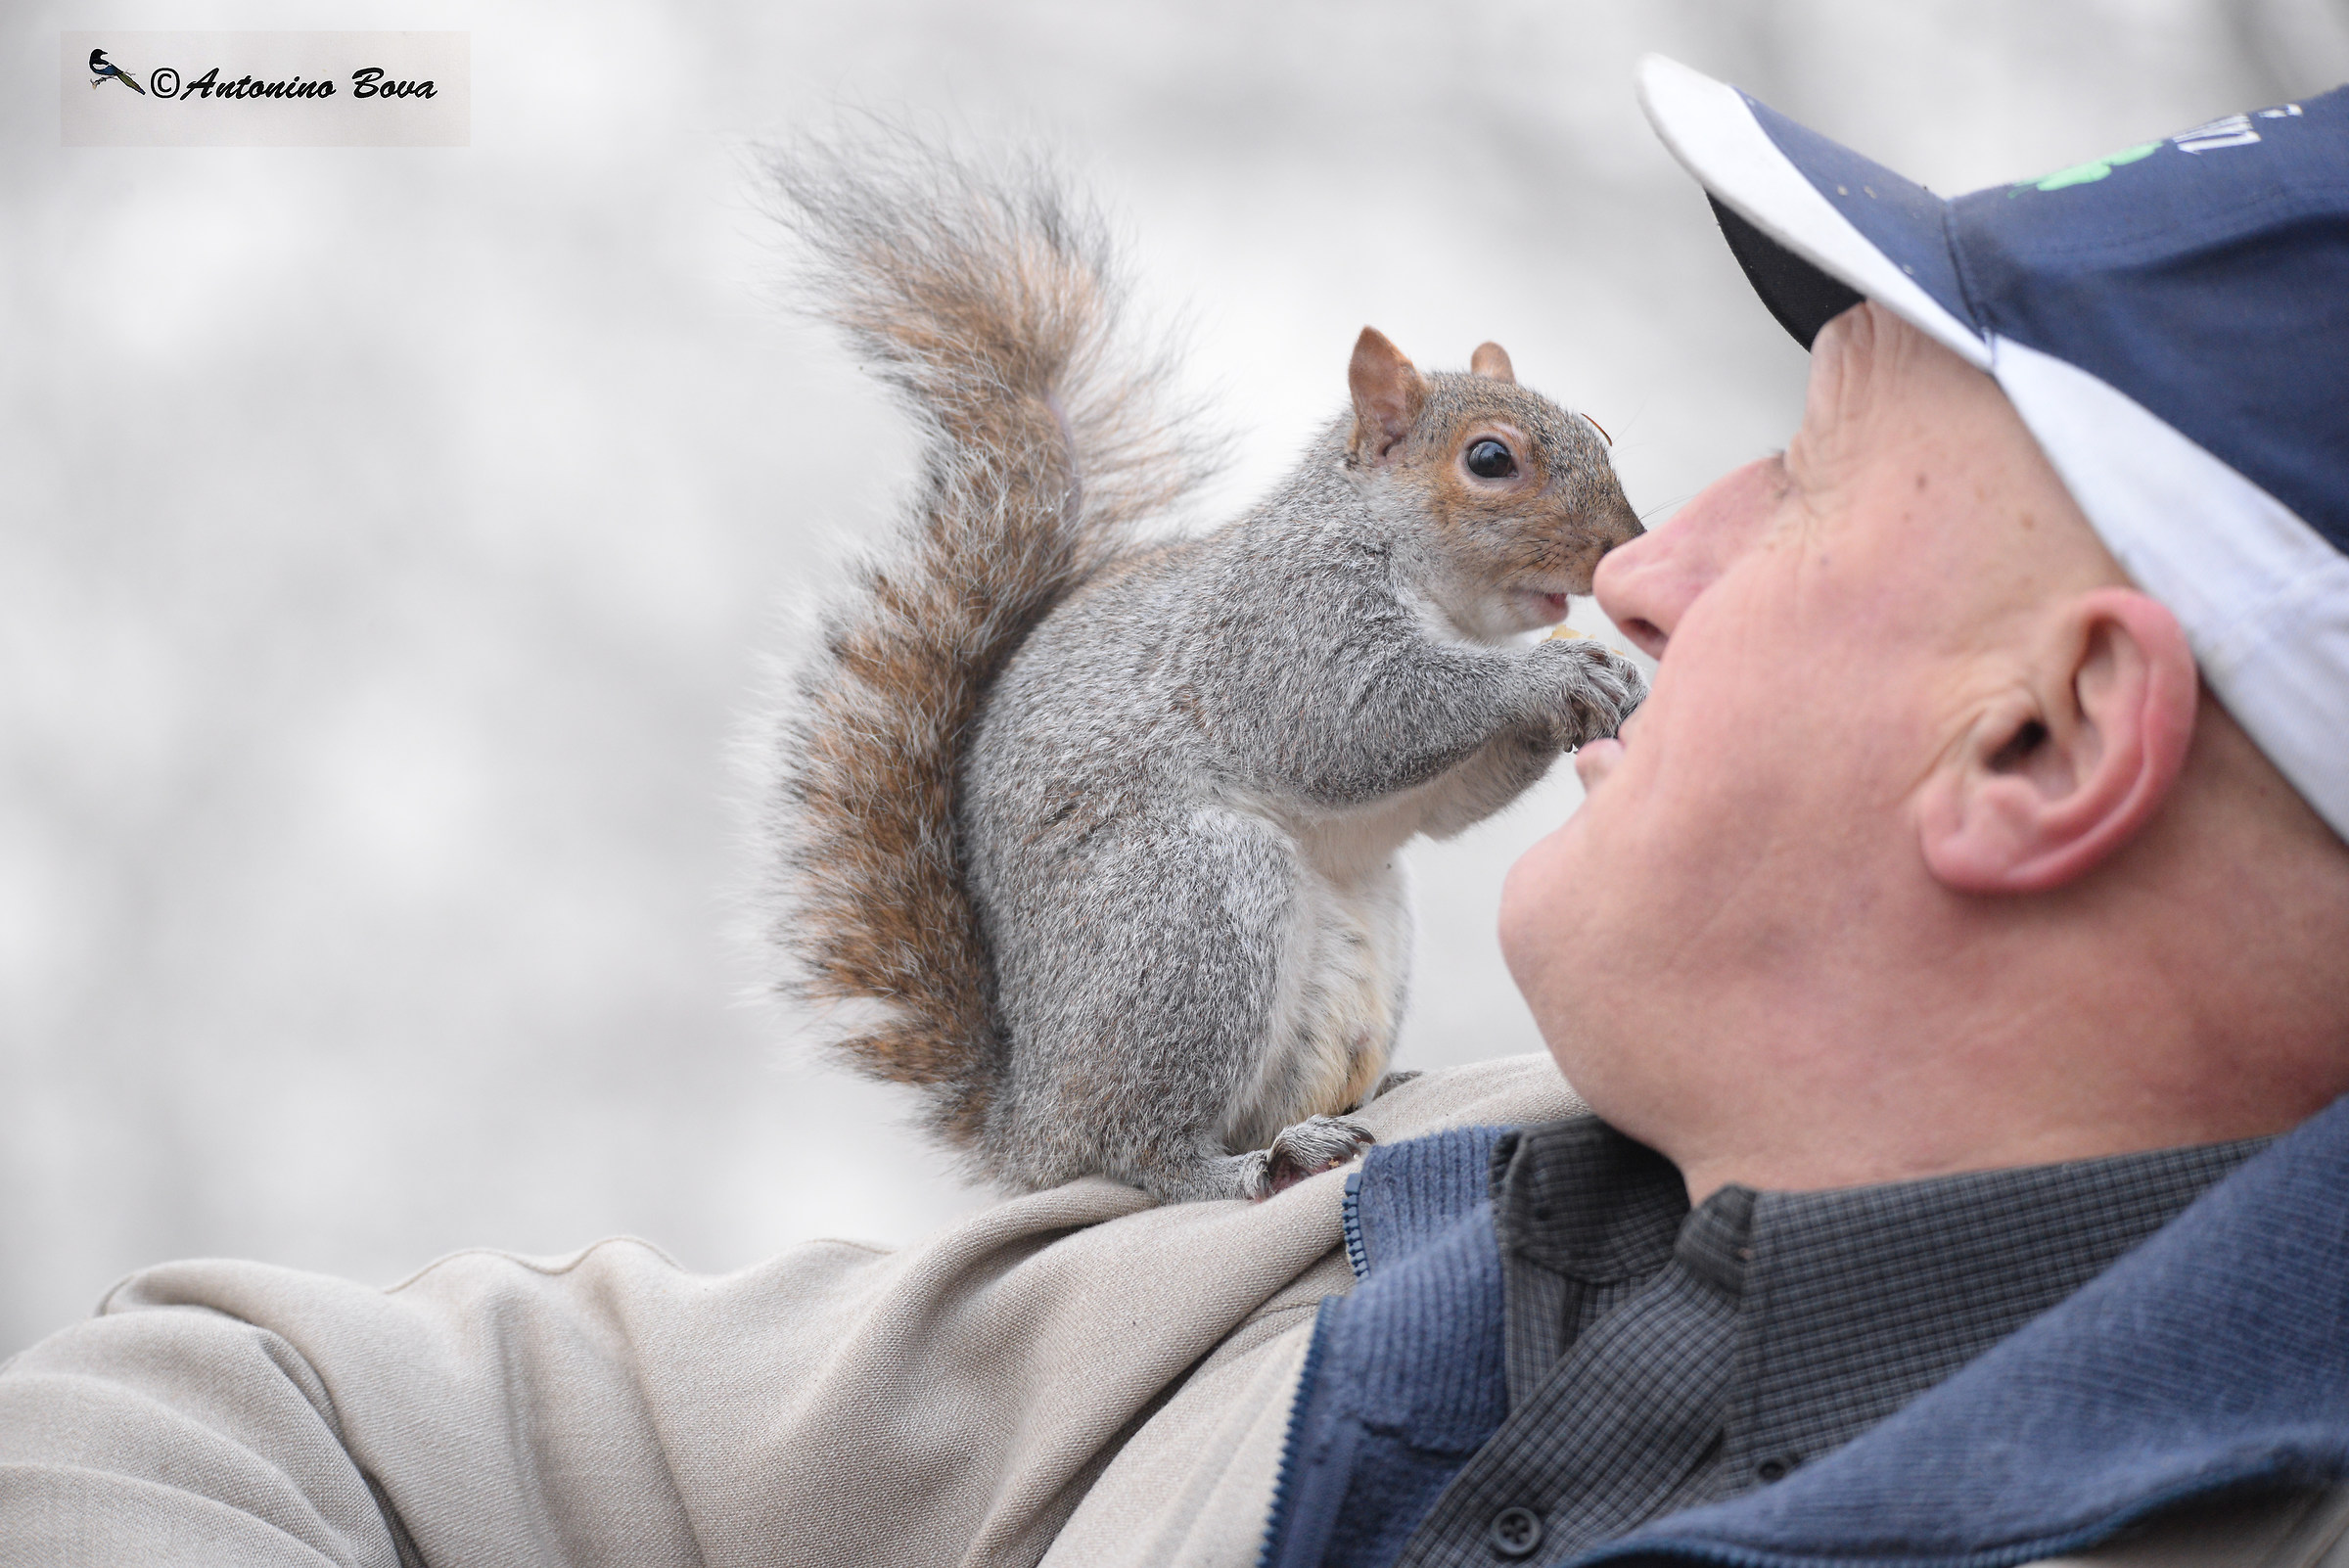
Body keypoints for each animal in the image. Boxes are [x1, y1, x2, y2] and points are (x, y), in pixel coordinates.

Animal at [763, 137, 1647, 1204]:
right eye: (1489, 460)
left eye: (1600, 430)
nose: (1625, 543)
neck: (1440, 598)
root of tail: (1029, 1130)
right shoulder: (1283, 630)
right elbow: (1359, 722)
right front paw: (1543, 682)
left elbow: (1442, 804)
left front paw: (1610, 677)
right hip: (1192, 912)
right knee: (1133, 1150)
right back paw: (1248, 1167)